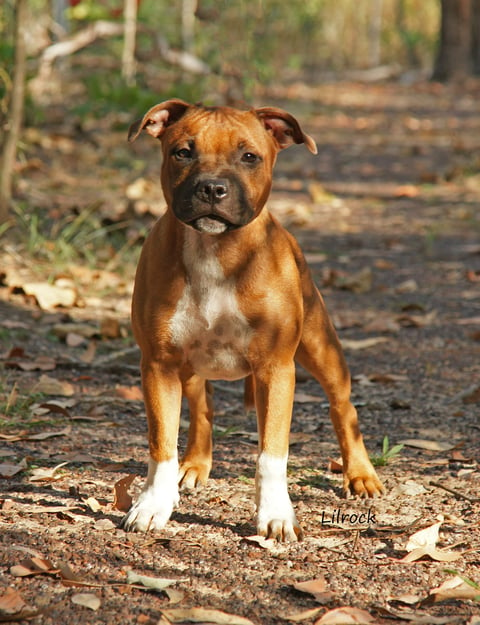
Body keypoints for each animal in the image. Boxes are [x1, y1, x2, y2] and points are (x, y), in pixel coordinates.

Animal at [122, 100, 384, 540]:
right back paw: (195, 465)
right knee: (203, 409)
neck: (215, 250)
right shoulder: (158, 365)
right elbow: (161, 444)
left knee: (343, 408)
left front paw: (275, 514)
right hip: (188, 369)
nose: (212, 188)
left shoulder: (275, 369)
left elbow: (271, 453)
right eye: (182, 152)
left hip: (322, 350)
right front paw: (153, 505)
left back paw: (360, 474)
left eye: (249, 157)